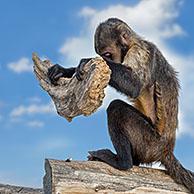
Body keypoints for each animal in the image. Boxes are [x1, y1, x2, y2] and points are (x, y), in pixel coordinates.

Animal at [48, 18, 194, 192]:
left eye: (107, 55)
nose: (105, 60)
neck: (134, 43)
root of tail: (166, 149)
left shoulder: (140, 51)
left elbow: (134, 85)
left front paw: (86, 61)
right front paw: (65, 70)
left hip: (150, 144)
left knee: (116, 108)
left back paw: (123, 163)